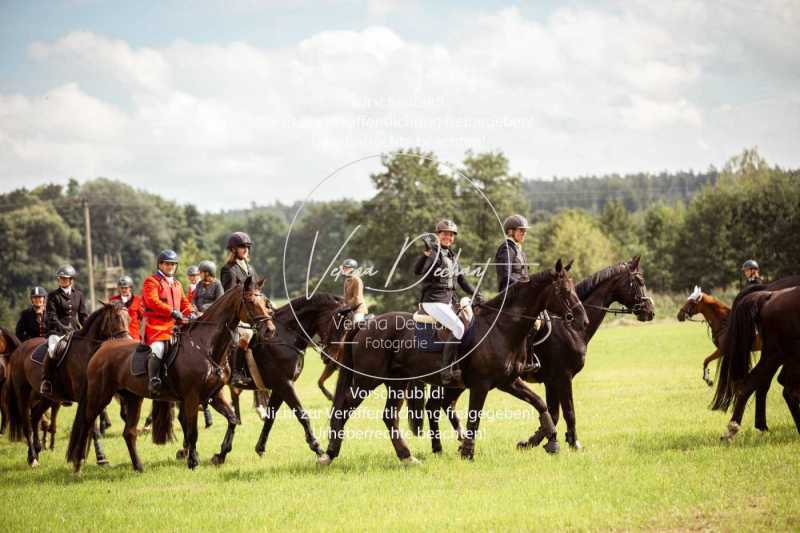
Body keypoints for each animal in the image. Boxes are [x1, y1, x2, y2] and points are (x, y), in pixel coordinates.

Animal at [64, 276, 276, 472]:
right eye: (250, 301)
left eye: (265, 302)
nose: (270, 330)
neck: (206, 346)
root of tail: (101, 350)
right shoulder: (192, 398)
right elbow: (192, 431)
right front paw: (193, 461)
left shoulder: (214, 395)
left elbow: (232, 420)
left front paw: (220, 455)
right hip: (99, 397)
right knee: (87, 425)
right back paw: (79, 464)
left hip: (133, 398)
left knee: (129, 432)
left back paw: (138, 466)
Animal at [318, 260, 588, 464]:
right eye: (564, 291)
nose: (582, 320)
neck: (501, 328)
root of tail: (366, 325)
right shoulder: (481, 385)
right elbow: (474, 419)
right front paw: (467, 452)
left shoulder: (509, 382)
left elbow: (540, 403)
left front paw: (551, 440)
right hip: (367, 381)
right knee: (345, 409)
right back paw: (329, 454)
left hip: (397, 383)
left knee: (389, 416)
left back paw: (407, 457)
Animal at [416, 258, 652, 454]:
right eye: (639, 281)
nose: (650, 311)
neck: (570, 330)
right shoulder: (561, 377)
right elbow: (566, 411)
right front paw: (568, 442)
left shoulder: (551, 381)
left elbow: (552, 411)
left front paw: (540, 440)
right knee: (437, 406)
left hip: (456, 384)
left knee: (440, 406)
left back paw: (449, 444)